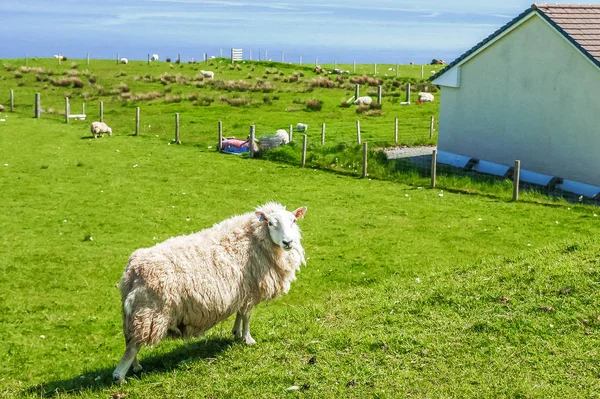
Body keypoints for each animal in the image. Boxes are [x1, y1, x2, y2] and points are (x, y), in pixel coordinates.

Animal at [113, 203, 310, 384]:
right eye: (270, 223)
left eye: (293, 221)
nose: (288, 242)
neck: (253, 240)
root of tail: (133, 271)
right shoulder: (250, 291)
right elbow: (247, 316)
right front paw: (248, 339)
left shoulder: (241, 292)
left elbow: (239, 314)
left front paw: (236, 332)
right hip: (150, 313)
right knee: (132, 346)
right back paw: (120, 377)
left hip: (134, 315)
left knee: (130, 340)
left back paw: (136, 366)